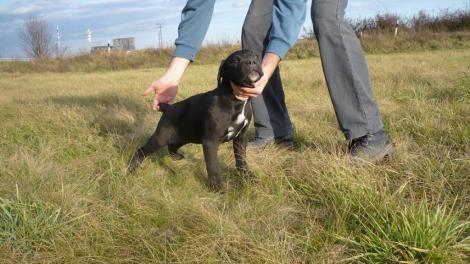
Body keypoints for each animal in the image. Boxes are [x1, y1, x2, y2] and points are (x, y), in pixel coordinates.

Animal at [129, 50, 262, 190]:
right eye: (235, 60)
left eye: (256, 56)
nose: (252, 62)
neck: (234, 99)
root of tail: (168, 107)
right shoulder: (210, 141)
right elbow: (213, 166)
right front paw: (217, 188)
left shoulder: (241, 137)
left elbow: (241, 159)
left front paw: (247, 177)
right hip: (161, 137)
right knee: (141, 151)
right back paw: (131, 169)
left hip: (183, 136)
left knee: (172, 146)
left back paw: (178, 156)